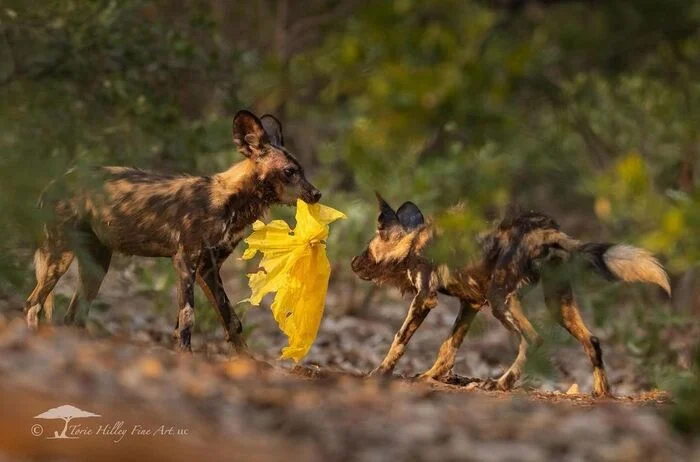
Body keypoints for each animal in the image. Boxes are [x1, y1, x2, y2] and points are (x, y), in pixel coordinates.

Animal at [23, 110, 322, 352]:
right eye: (290, 172)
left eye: (302, 170)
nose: (317, 194)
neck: (231, 202)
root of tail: (54, 181)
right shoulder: (185, 261)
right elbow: (189, 317)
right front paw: (186, 357)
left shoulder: (208, 269)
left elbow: (230, 321)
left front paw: (247, 362)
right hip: (59, 257)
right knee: (33, 305)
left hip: (96, 264)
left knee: (73, 316)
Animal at [352, 194, 668, 398]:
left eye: (368, 249)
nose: (353, 262)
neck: (412, 241)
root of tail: (545, 232)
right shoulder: (470, 304)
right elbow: (448, 347)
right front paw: (431, 376)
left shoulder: (425, 298)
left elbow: (399, 340)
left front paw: (380, 373)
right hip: (555, 304)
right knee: (591, 341)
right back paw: (603, 393)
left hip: (500, 300)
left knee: (534, 340)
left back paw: (501, 384)